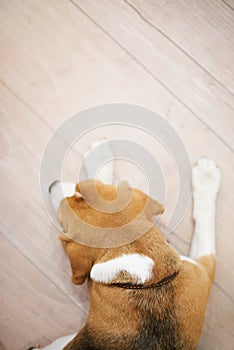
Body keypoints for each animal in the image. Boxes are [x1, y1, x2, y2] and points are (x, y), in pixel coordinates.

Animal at [40, 154, 221, 350]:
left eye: (79, 191)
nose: (52, 185)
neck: (146, 277)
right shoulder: (204, 271)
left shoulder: (203, 271)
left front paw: (207, 177)